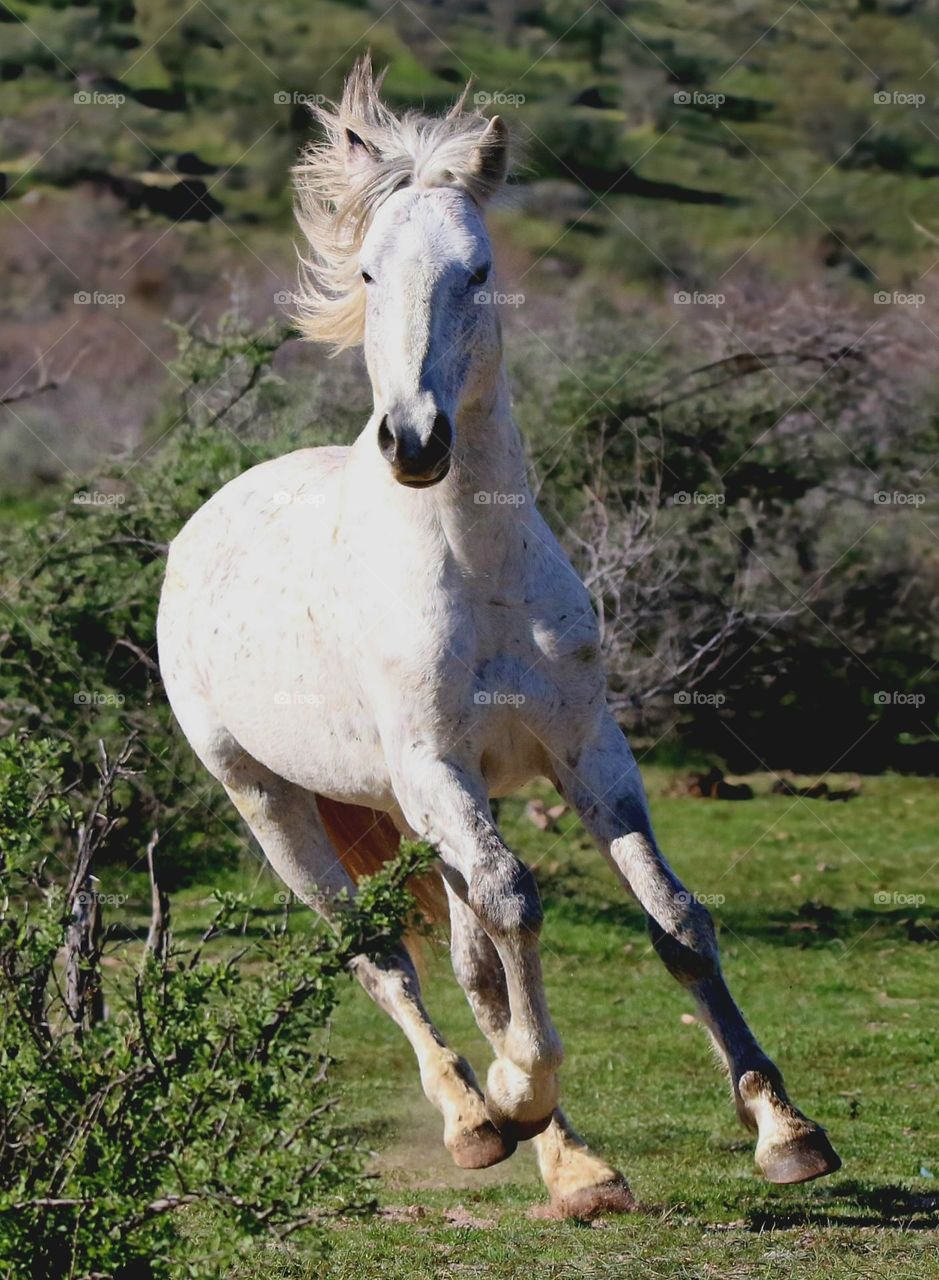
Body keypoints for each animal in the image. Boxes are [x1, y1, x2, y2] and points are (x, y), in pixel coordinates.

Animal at [157, 56, 841, 1218]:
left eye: (476, 271)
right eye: (372, 271)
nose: (414, 442)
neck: (476, 571)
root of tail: (202, 523)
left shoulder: (587, 750)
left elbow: (675, 919)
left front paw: (784, 1128)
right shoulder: (437, 765)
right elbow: (517, 902)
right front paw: (519, 1088)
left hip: (409, 806)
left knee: (473, 961)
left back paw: (575, 1165)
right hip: (274, 799)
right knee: (380, 954)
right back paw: (480, 1121)